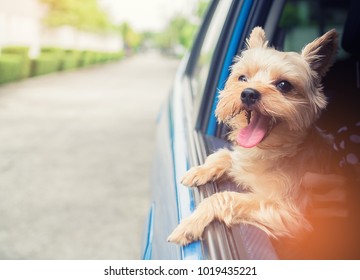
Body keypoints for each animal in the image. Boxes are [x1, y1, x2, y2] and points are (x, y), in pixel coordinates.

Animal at [166, 26, 340, 245]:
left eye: (284, 85)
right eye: (242, 78)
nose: (248, 93)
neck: (271, 152)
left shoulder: (287, 214)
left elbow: (223, 197)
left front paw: (192, 222)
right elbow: (224, 155)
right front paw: (200, 170)